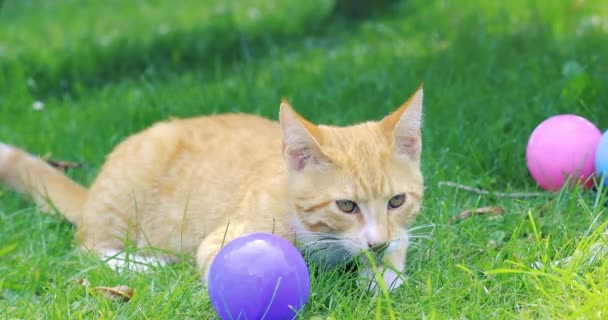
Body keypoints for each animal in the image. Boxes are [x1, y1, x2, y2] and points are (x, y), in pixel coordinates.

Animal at [0, 86, 426, 292]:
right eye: (346, 206)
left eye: (397, 201)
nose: (376, 243)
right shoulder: (222, 240)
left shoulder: (397, 231)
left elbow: (400, 243)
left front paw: (383, 275)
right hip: (126, 194)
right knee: (88, 247)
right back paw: (145, 263)